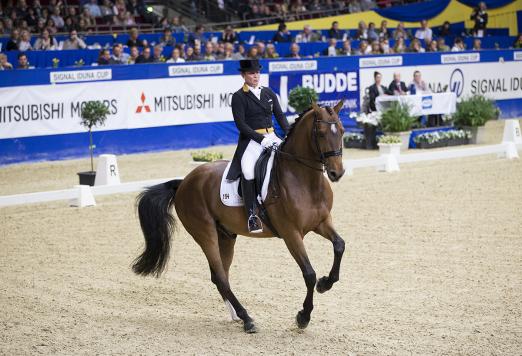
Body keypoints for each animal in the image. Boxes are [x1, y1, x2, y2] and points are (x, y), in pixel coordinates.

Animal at [132, 98, 348, 332]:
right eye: (320, 133)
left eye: (342, 131)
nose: (337, 173)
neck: (304, 180)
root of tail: (183, 182)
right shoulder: (291, 233)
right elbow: (309, 273)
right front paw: (303, 316)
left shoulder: (322, 222)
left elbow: (339, 245)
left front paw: (325, 283)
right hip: (205, 233)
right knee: (219, 276)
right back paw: (247, 319)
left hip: (226, 235)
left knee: (221, 275)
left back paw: (236, 315)